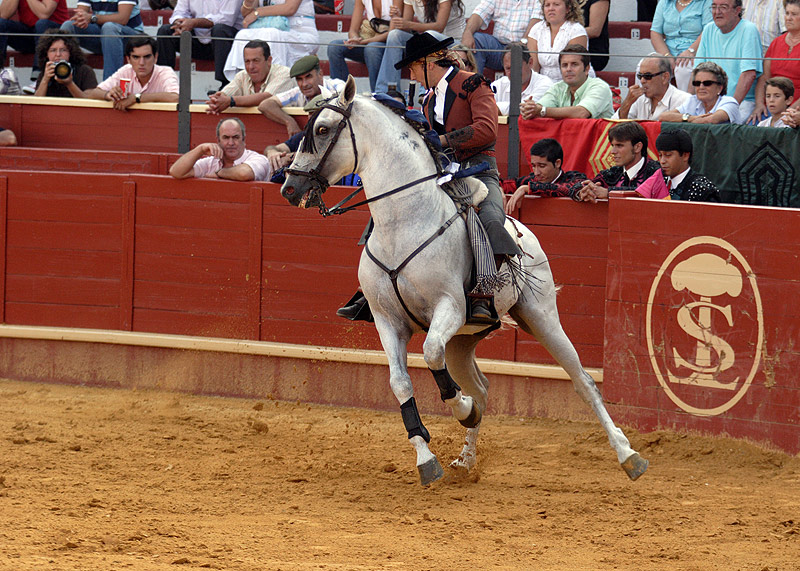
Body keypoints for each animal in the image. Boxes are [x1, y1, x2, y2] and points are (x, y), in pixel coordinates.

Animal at [278, 77, 648, 488]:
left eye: (323, 129)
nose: (289, 188)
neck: (402, 220)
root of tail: (524, 232)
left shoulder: (450, 306)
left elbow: (429, 354)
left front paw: (461, 410)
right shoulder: (387, 320)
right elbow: (400, 382)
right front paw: (427, 459)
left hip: (540, 315)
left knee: (582, 380)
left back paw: (628, 455)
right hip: (464, 339)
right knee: (482, 386)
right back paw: (467, 459)